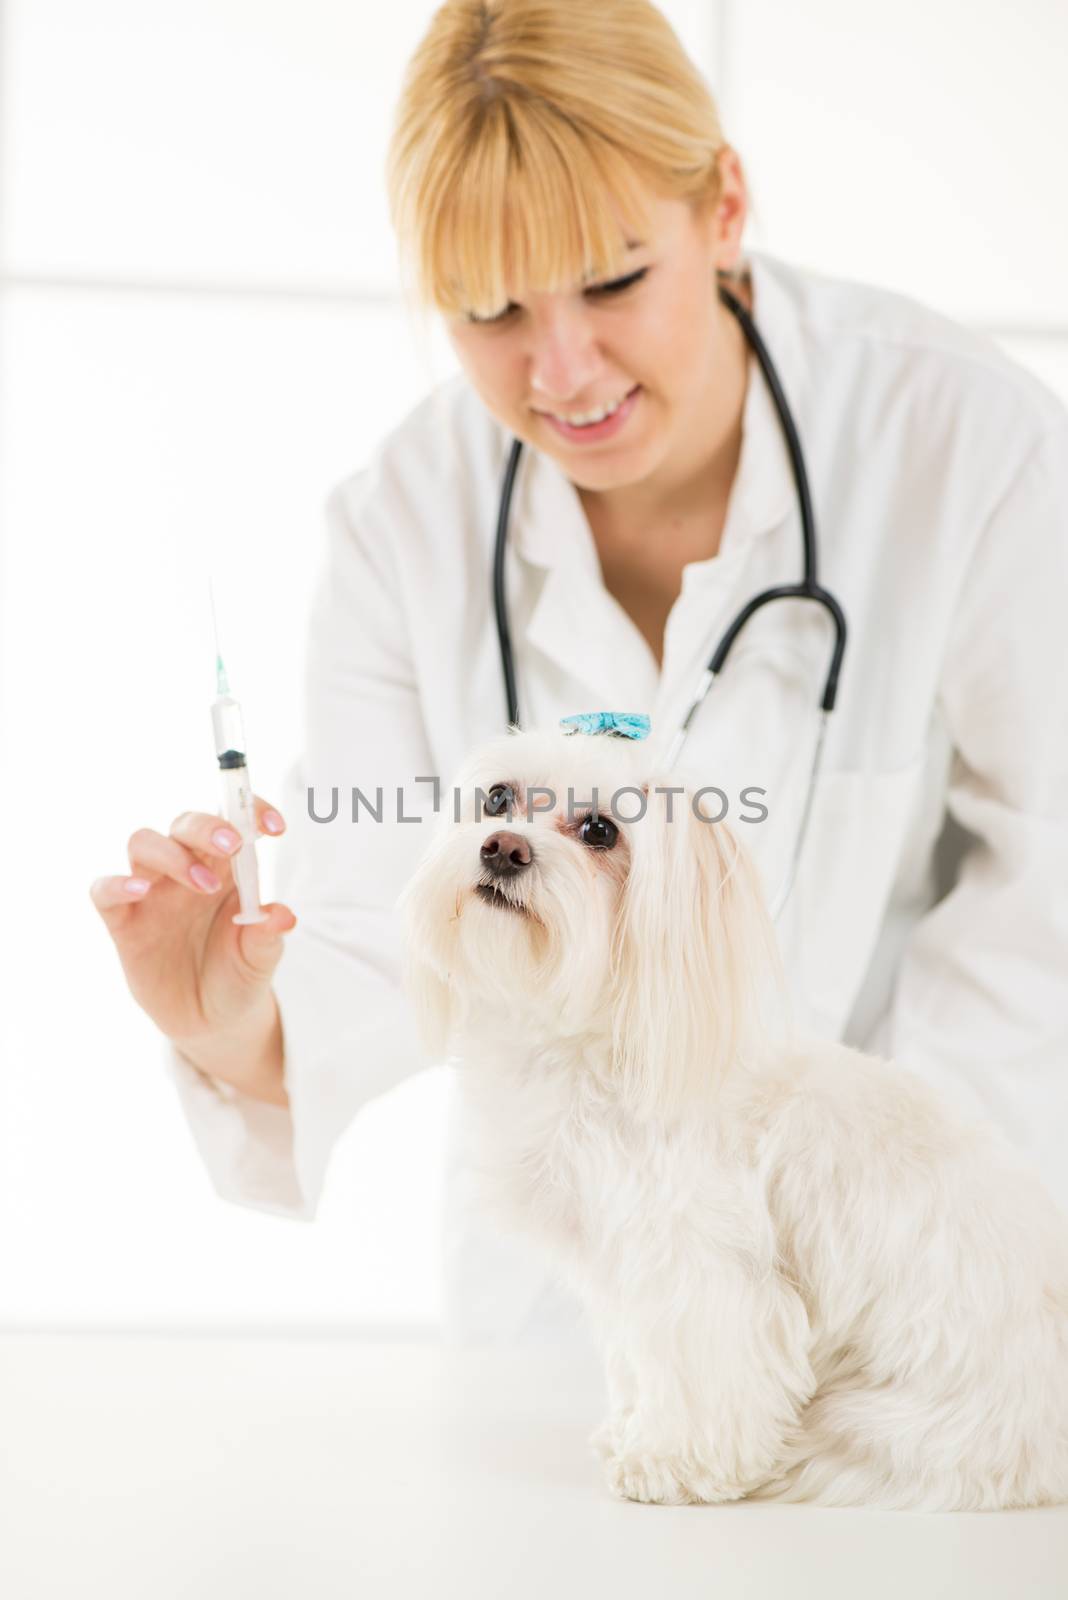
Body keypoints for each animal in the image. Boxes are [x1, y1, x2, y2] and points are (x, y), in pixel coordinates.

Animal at [398, 726, 1068, 1510]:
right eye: (498, 797)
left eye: (600, 831)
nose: (503, 847)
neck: (595, 1049)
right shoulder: (621, 1267)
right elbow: (636, 1358)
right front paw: (629, 1430)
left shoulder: (697, 1265)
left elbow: (701, 1364)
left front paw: (669, 1460)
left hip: (898, 1429)